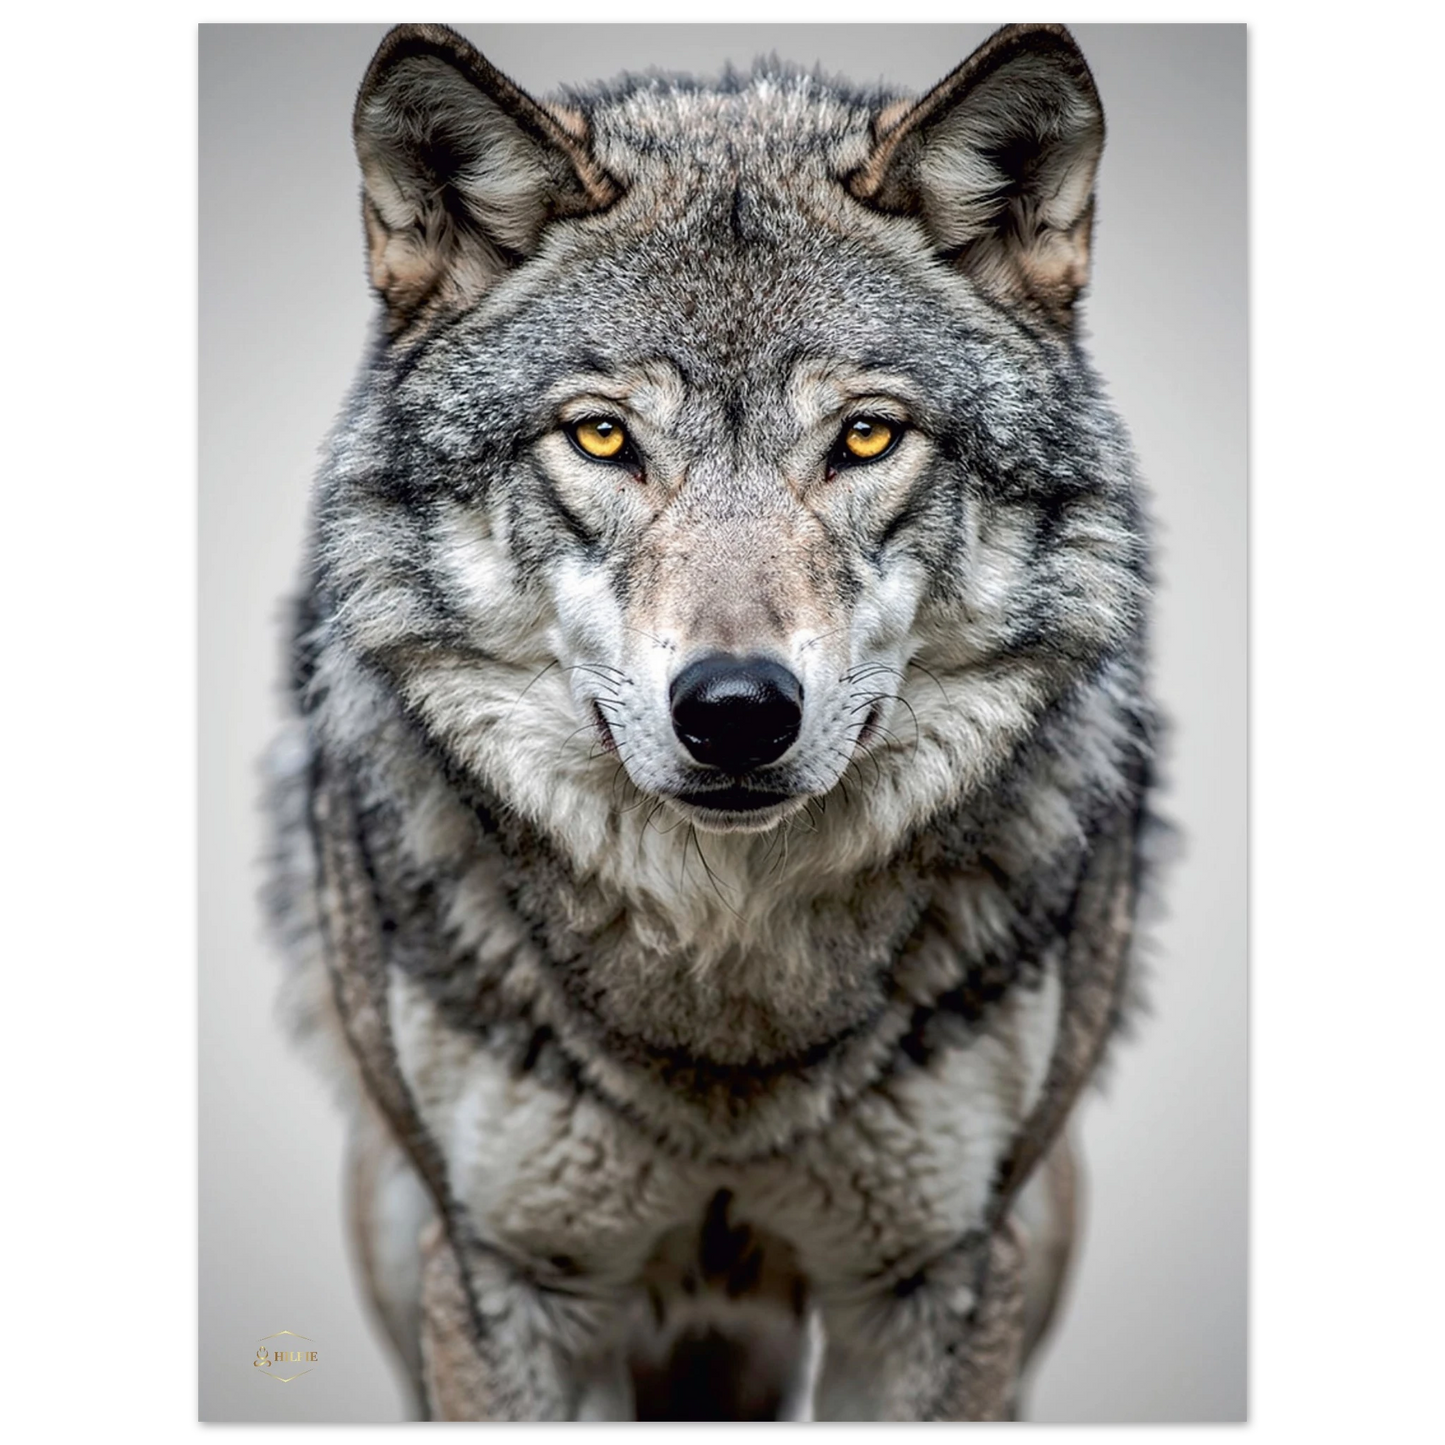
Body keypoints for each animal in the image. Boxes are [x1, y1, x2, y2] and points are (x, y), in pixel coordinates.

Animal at [266, 20, 1160, 1421]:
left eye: (864, 436)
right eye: (600, 436)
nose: (735, 712)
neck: (728, 996)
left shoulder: (936, 1277)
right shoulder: (507, 1274)